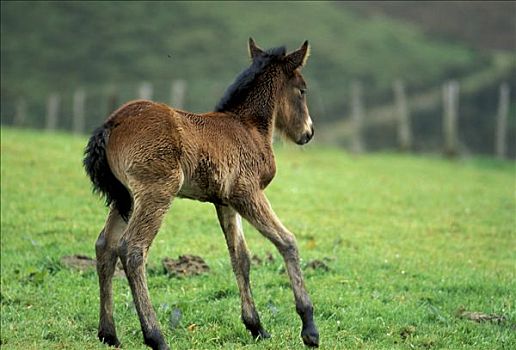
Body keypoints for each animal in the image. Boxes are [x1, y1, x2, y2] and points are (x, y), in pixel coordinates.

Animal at [84, 38, 318, 350]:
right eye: (302, 90)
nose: (308, 133)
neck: (248, 127)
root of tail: (111, 124)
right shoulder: (248, 192)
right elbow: (287, 242)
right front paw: (309, 329)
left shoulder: (226, 202)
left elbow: (240, 257)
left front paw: (256, 327)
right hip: (156, 192)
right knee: (132, 249)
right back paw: (156, 337)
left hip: (125, 199)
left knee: (105, 246)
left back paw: (108, 334)